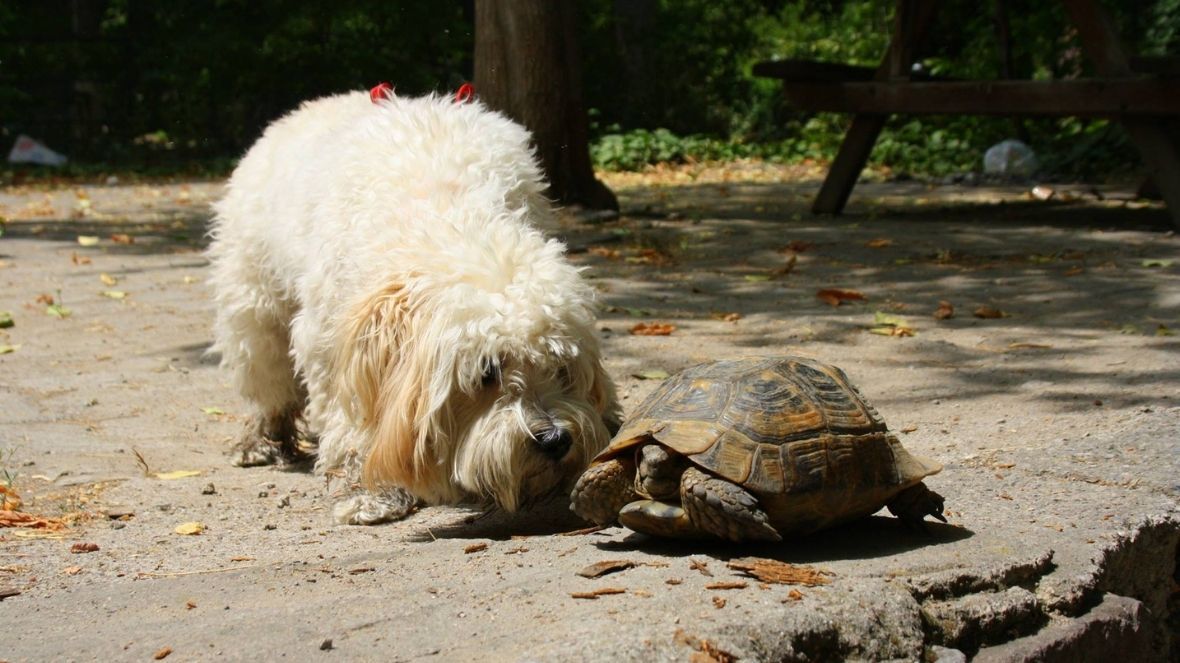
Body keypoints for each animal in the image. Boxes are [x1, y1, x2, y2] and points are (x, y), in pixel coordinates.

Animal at [207, 89, 623, 521]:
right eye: (486, 372)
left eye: (560, 365)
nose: (555, 439)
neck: (447, 213)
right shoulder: (335, 349)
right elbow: (353, 421)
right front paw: (369, 490)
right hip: (253, 302)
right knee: (265, 377)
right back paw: (261, 439)